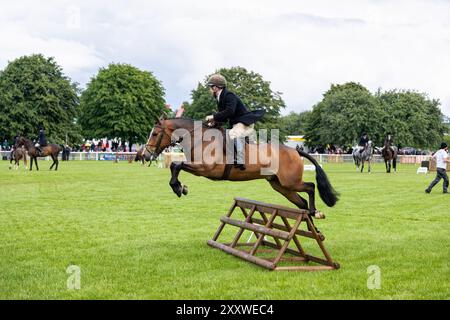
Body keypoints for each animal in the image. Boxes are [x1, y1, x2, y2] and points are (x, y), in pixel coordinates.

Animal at [146, 117, 340, 228]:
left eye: (155, 134)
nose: (146, 154)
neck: (200, 139)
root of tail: (295, 151)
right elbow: (175, 166)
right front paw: (180, 187)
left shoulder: (204, 169)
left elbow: (176, 165)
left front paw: (178, 188)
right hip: (281, 186)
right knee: (301, 202)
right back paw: (313, 228)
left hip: (290, 182)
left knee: (310, 187)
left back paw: (316, 213)